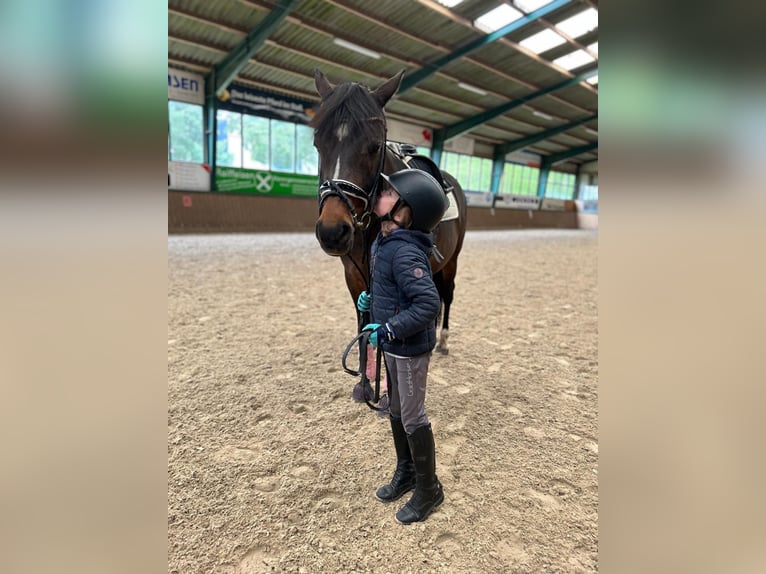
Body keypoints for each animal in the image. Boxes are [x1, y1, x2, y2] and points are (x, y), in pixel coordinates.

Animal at [310, 69, 467, 403]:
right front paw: (364, 382)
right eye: (318, 144)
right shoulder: (355, 278)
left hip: (452, 261)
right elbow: (363, 326)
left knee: (447, 294)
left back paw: (443, 340)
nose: (332, 231)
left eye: (373, 146)